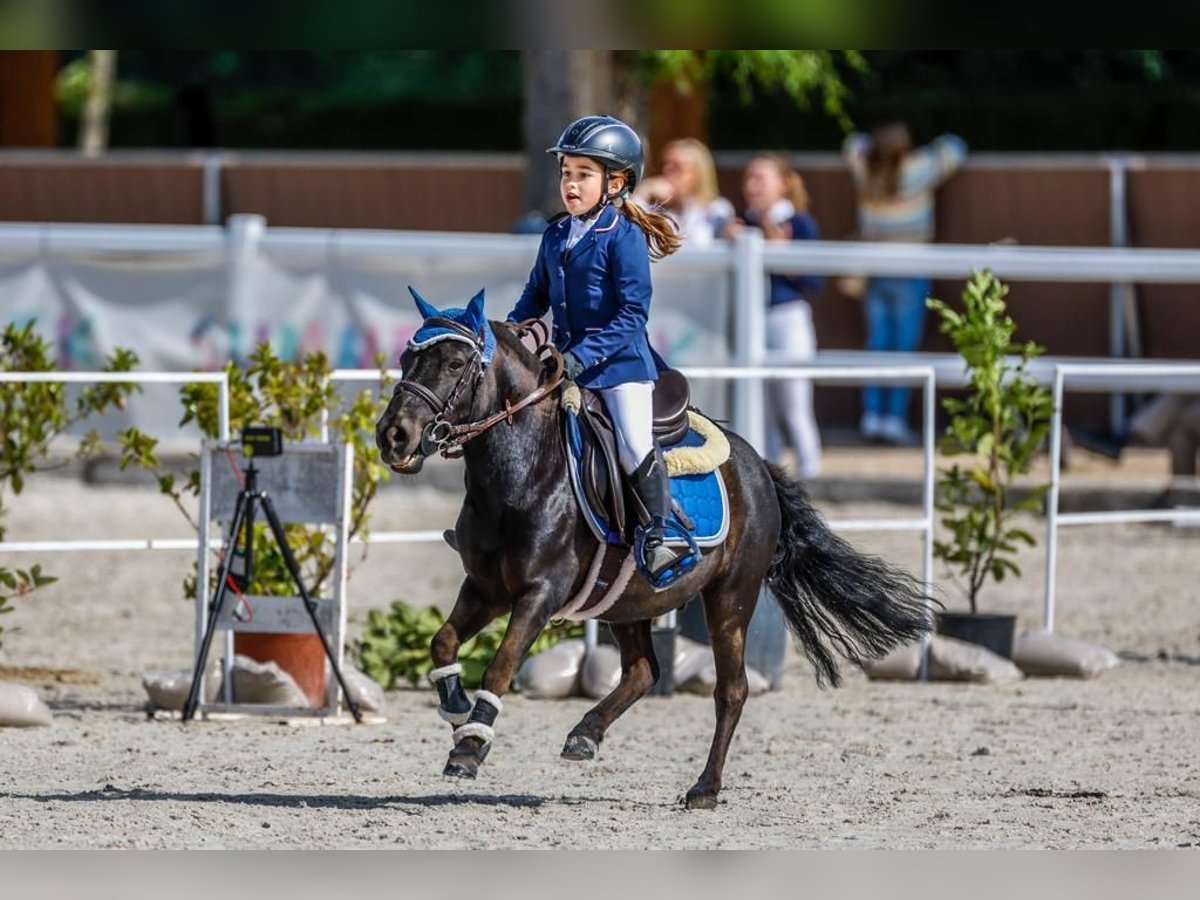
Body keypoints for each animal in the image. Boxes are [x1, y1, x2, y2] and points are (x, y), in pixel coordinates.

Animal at [374, 309, 926, 811]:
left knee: (731, 690)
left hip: (730, 596)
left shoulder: (539, 593)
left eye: (454, 362)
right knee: (643, 671)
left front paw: (469, 747)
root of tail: (757, 464)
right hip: (627, 601)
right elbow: (442, 642)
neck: (522, 469)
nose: (392, 435)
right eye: (406, 358)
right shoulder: (486, 588)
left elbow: (501, 666)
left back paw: (704, 789)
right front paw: (456, 707)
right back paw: (585, 735)